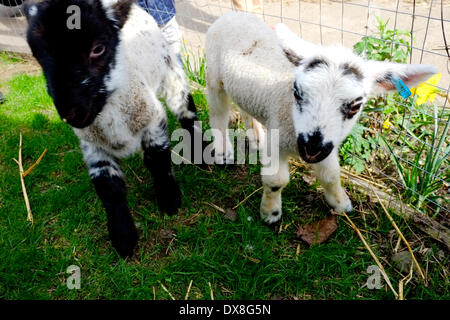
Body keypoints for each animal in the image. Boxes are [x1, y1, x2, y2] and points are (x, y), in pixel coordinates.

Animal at [22, 0, 202, 258]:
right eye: (38, 54)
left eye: (98, 48)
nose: (70, 113)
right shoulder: (92, 144)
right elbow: (108, 187)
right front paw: (123, 238)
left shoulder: (152, 118)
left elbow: (158, 160)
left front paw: (169, 201)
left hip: (169, 70)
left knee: (185, 108)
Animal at [206, 12, 438, 226]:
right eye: (297, 92)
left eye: (356, 106)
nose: (311, 147)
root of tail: (234, 14)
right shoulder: (279, 136)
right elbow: (276, 181)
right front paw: (270, 214)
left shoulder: (327, 145)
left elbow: (331, 174)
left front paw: (341, 203)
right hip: (214, 77)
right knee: (218, 115)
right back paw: (223, 152)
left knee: (244, 109)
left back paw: (257, 139)